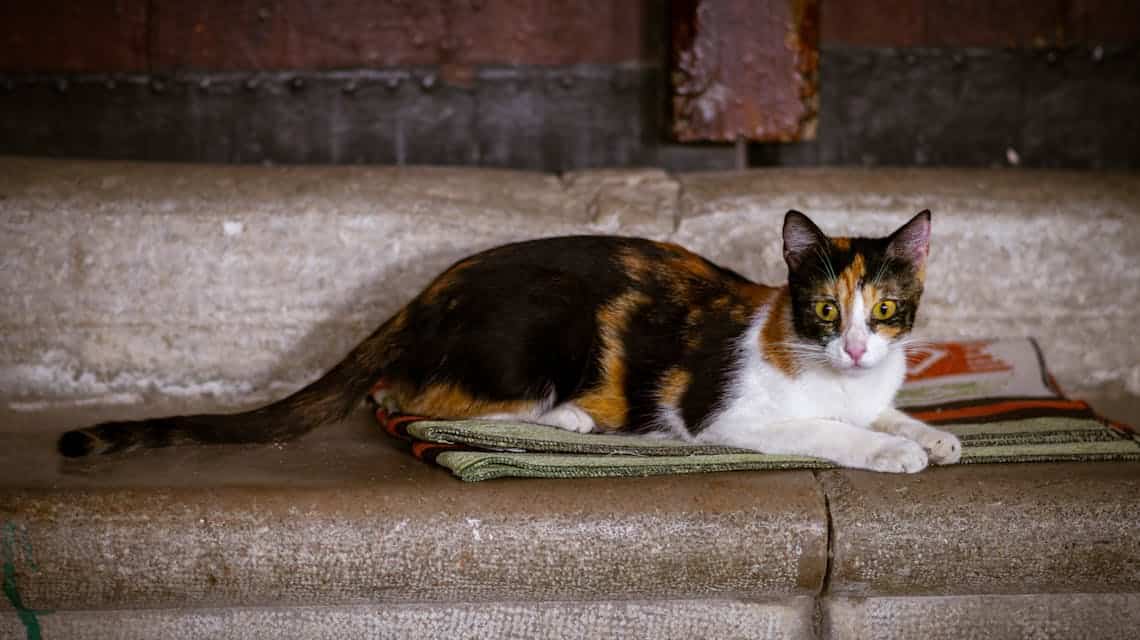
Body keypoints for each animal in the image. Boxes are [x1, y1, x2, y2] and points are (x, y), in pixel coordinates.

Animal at [57, 212, 957, 472]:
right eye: (823, 309)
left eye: (884, 310)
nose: (852, 349)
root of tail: (422, 297)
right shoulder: (729, 417)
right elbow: (828, 430)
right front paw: (891, 451)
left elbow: (882, 413)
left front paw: (931, 434)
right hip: (546, 330)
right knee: (411, 402)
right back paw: (569, 420)